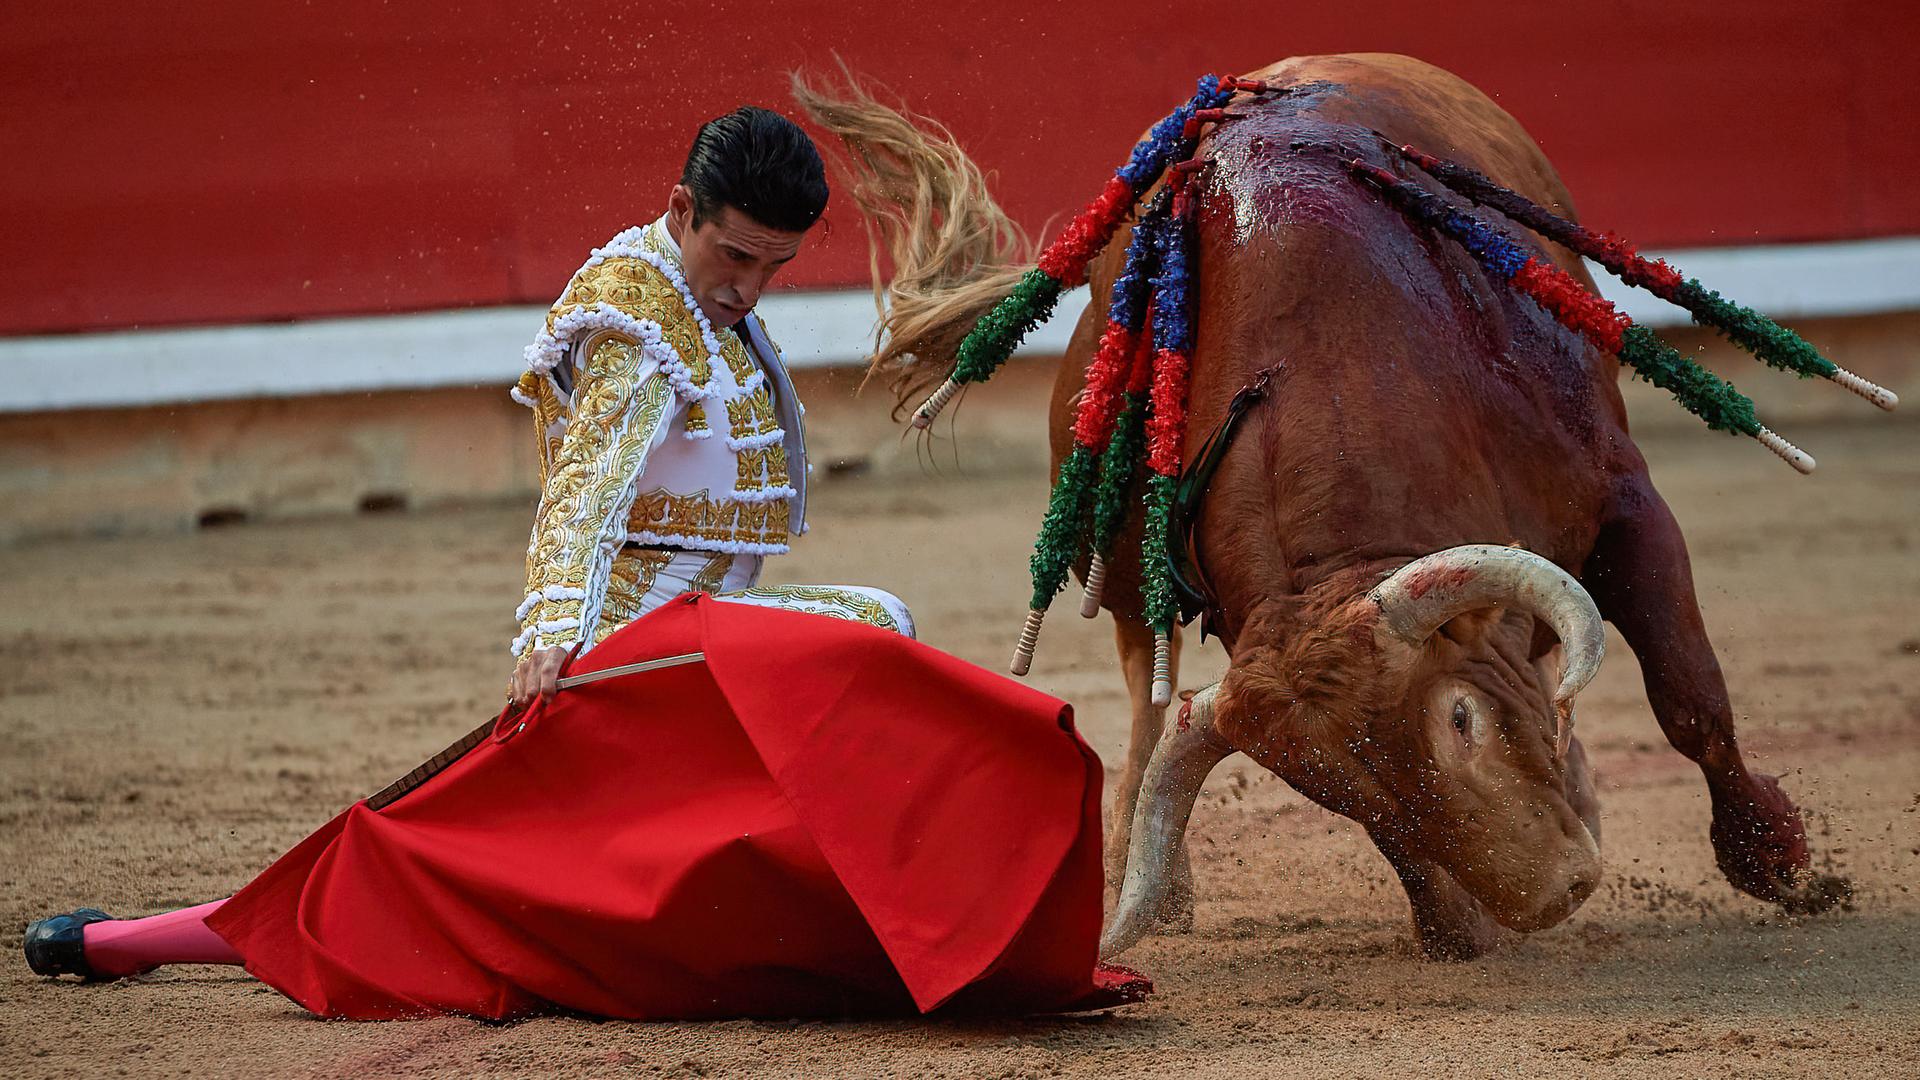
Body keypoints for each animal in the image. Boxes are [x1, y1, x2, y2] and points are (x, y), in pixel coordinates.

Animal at [794, 52, 1843, 957]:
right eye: (1336, 793)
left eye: (1460, 720)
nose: (1551, 896)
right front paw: (1453, 926)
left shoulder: (1627, 505)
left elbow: (1689, 699)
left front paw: (1784, 865)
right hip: (1123, 562)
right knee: (1144, 695)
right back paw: (1148, 874)